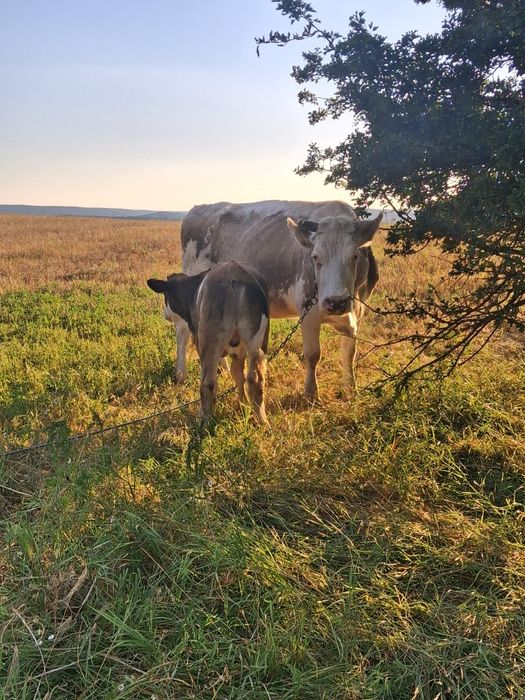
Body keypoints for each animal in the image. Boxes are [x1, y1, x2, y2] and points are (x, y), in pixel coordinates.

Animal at [147, 261, 269, 424]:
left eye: (165, 297)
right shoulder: (238, 352)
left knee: (208, 382)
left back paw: (205, 420)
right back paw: (262, 421)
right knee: (255, 378)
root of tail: (234, 277)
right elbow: (237, 374)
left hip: (209, 340)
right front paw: (244, 408)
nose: (164, 314)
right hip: (257, 341)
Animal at [172, 200, 382, 400]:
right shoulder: (309, 311)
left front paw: (350, 389)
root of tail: (197, 209)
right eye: (315, 257)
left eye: (355, 256)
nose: (336, 302)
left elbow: (349, 353)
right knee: (183, 332)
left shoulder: (357, 312)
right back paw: (181, 374)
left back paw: (221, 369)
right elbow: (313, 355)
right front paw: (311, 393)